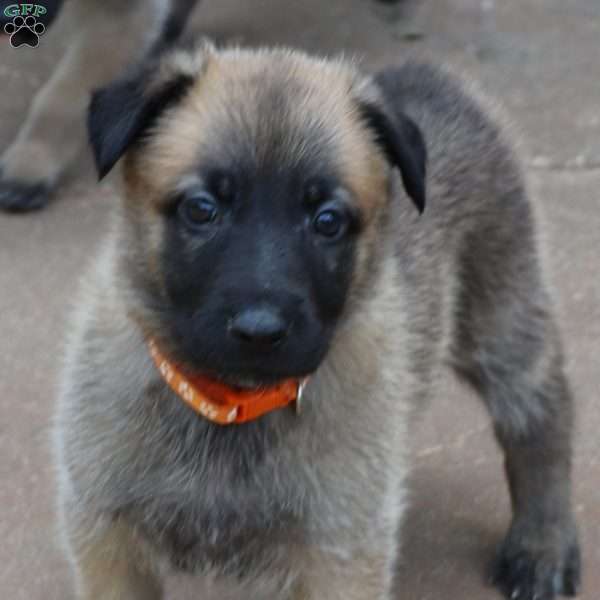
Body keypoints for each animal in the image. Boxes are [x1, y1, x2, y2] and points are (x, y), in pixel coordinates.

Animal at [55, 42, 580, 600]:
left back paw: (542, 543)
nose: (260, 331)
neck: (230, 407)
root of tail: (430, 76)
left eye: (327, 220)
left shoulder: (340, 551)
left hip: (502, 314)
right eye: (201, 209)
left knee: (540, 417)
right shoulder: (106, 538)